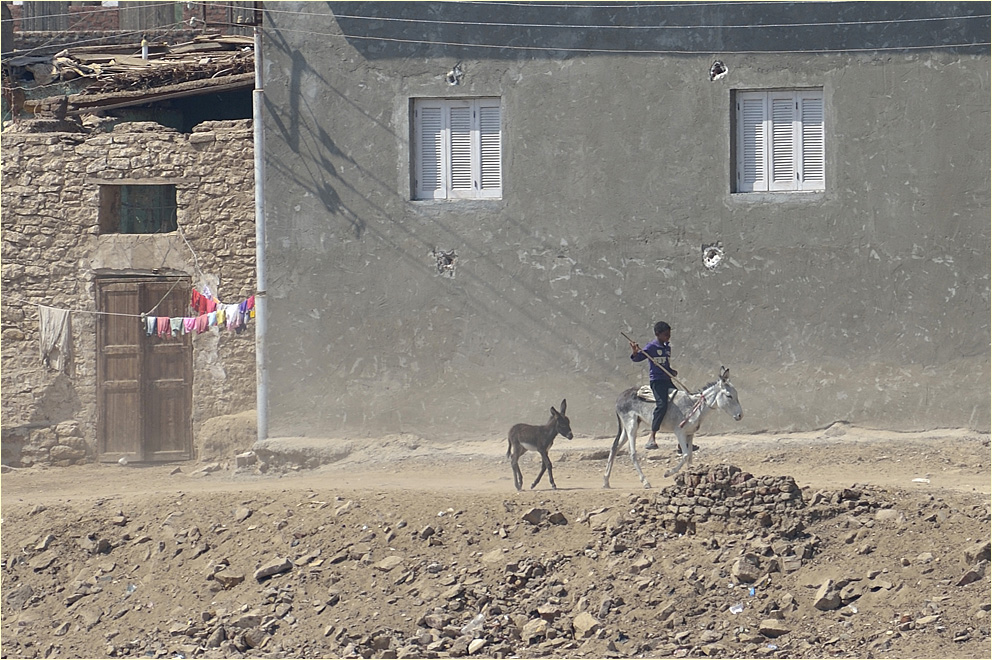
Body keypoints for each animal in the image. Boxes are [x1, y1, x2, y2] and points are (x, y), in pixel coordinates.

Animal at [603, 367, 743, 488]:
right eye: (729, 395)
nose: (740, 415)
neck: (694, 406)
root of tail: (620, 396)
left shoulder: (690, 434)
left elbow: (690, 456)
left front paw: (691, 477)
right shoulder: (679, 432)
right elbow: (685, 455)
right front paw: (668, 473)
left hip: (629, 426)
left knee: (614, 448)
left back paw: (606, 482)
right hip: (631, 425)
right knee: (632, 453)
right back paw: (645, 482)